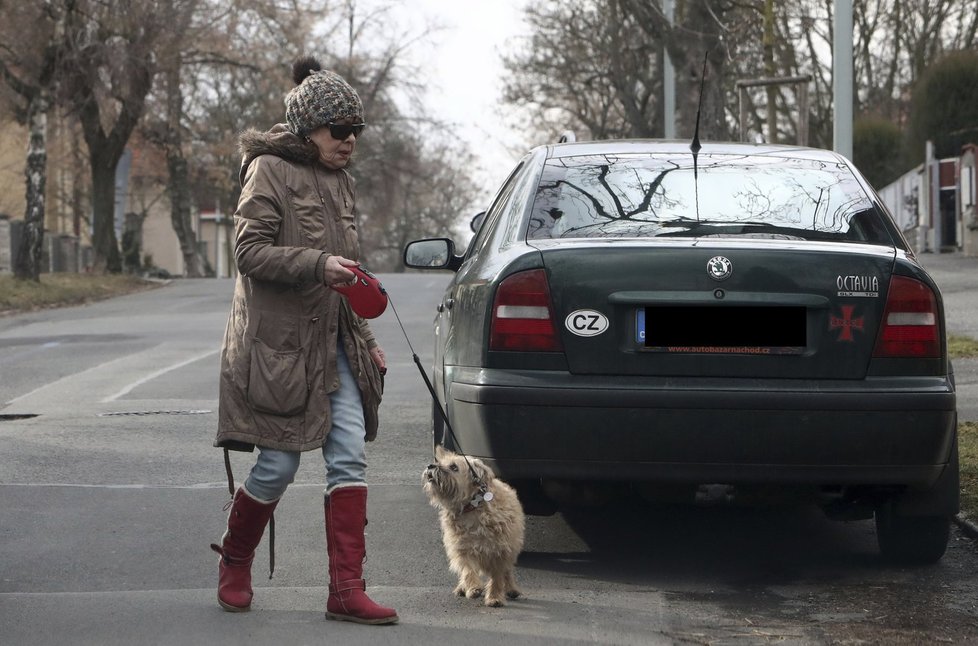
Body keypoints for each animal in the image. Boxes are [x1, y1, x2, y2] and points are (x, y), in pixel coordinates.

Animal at [422, 448, 528, 612]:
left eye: (454, 467)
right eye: (440, 462)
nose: (431, 466)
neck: (471, 507)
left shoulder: (499, 552)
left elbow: (497, 578)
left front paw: (495, 598)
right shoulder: (462, 549)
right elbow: (467, 570)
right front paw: (473, 588)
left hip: (511, 549)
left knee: (508, 571)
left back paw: (511, 588)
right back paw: (462, 588)